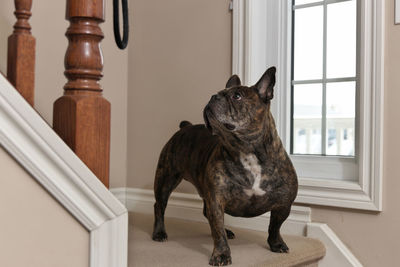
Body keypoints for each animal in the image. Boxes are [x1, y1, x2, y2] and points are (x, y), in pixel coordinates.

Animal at [152, 66, 298, 266]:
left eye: (237, 96)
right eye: (217, 93)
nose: (213, 96)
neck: (245, 149)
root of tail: (185, 127)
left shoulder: (283, 204)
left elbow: (275, 226)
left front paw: (276, 244)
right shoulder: (216, 199)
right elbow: (217, 230)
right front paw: (221, 254)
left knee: (206, 214)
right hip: (166, 178)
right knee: (160, 205)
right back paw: (159, 232)